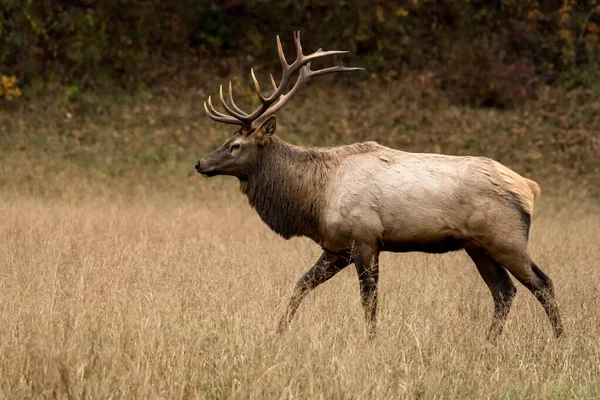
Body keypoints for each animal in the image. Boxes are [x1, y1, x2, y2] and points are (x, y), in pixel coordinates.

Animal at [196, 31, 564, 340]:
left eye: (235, 145)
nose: (200, 163)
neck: (314, 200)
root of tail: (529, 188)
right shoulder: (336, 247)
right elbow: (300, 285)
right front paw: (277, 332)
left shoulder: (365, 238)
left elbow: (369, 300)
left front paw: (371, 341)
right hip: (477, 246)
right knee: (504, 291)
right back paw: (490, 342)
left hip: (506, 238)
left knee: (542, 283)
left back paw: (560, 340)